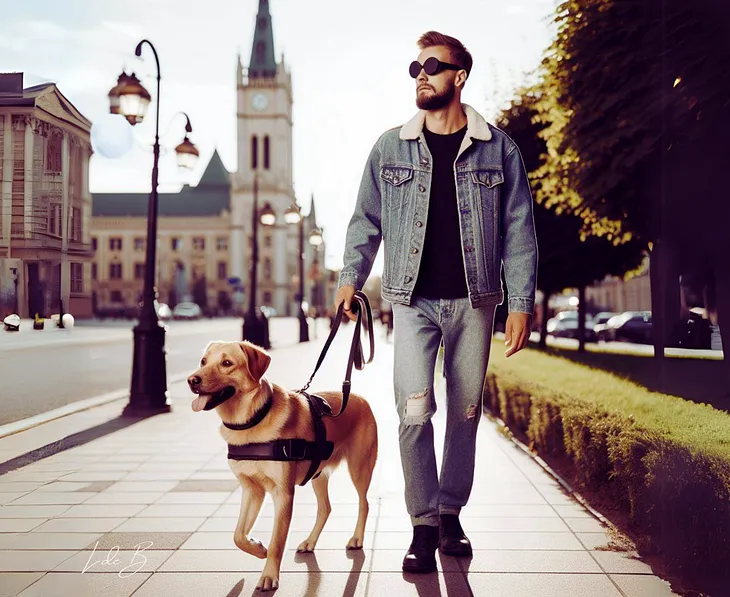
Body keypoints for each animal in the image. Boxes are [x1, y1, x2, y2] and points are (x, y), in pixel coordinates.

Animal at [185, 340, 378, 592]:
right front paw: (258, 548)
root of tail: (359, 397)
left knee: (364, 503)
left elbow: (277, 541)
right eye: (203, 362)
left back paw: (356, 539)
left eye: (226, 363)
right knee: (325, 508)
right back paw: (310, 542)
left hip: (359, 468)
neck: (252, 420)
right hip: (318, 475)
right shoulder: (251, 489)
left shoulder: (283, 493)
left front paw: (269, 576)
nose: (192, 380)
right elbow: (238, 535)